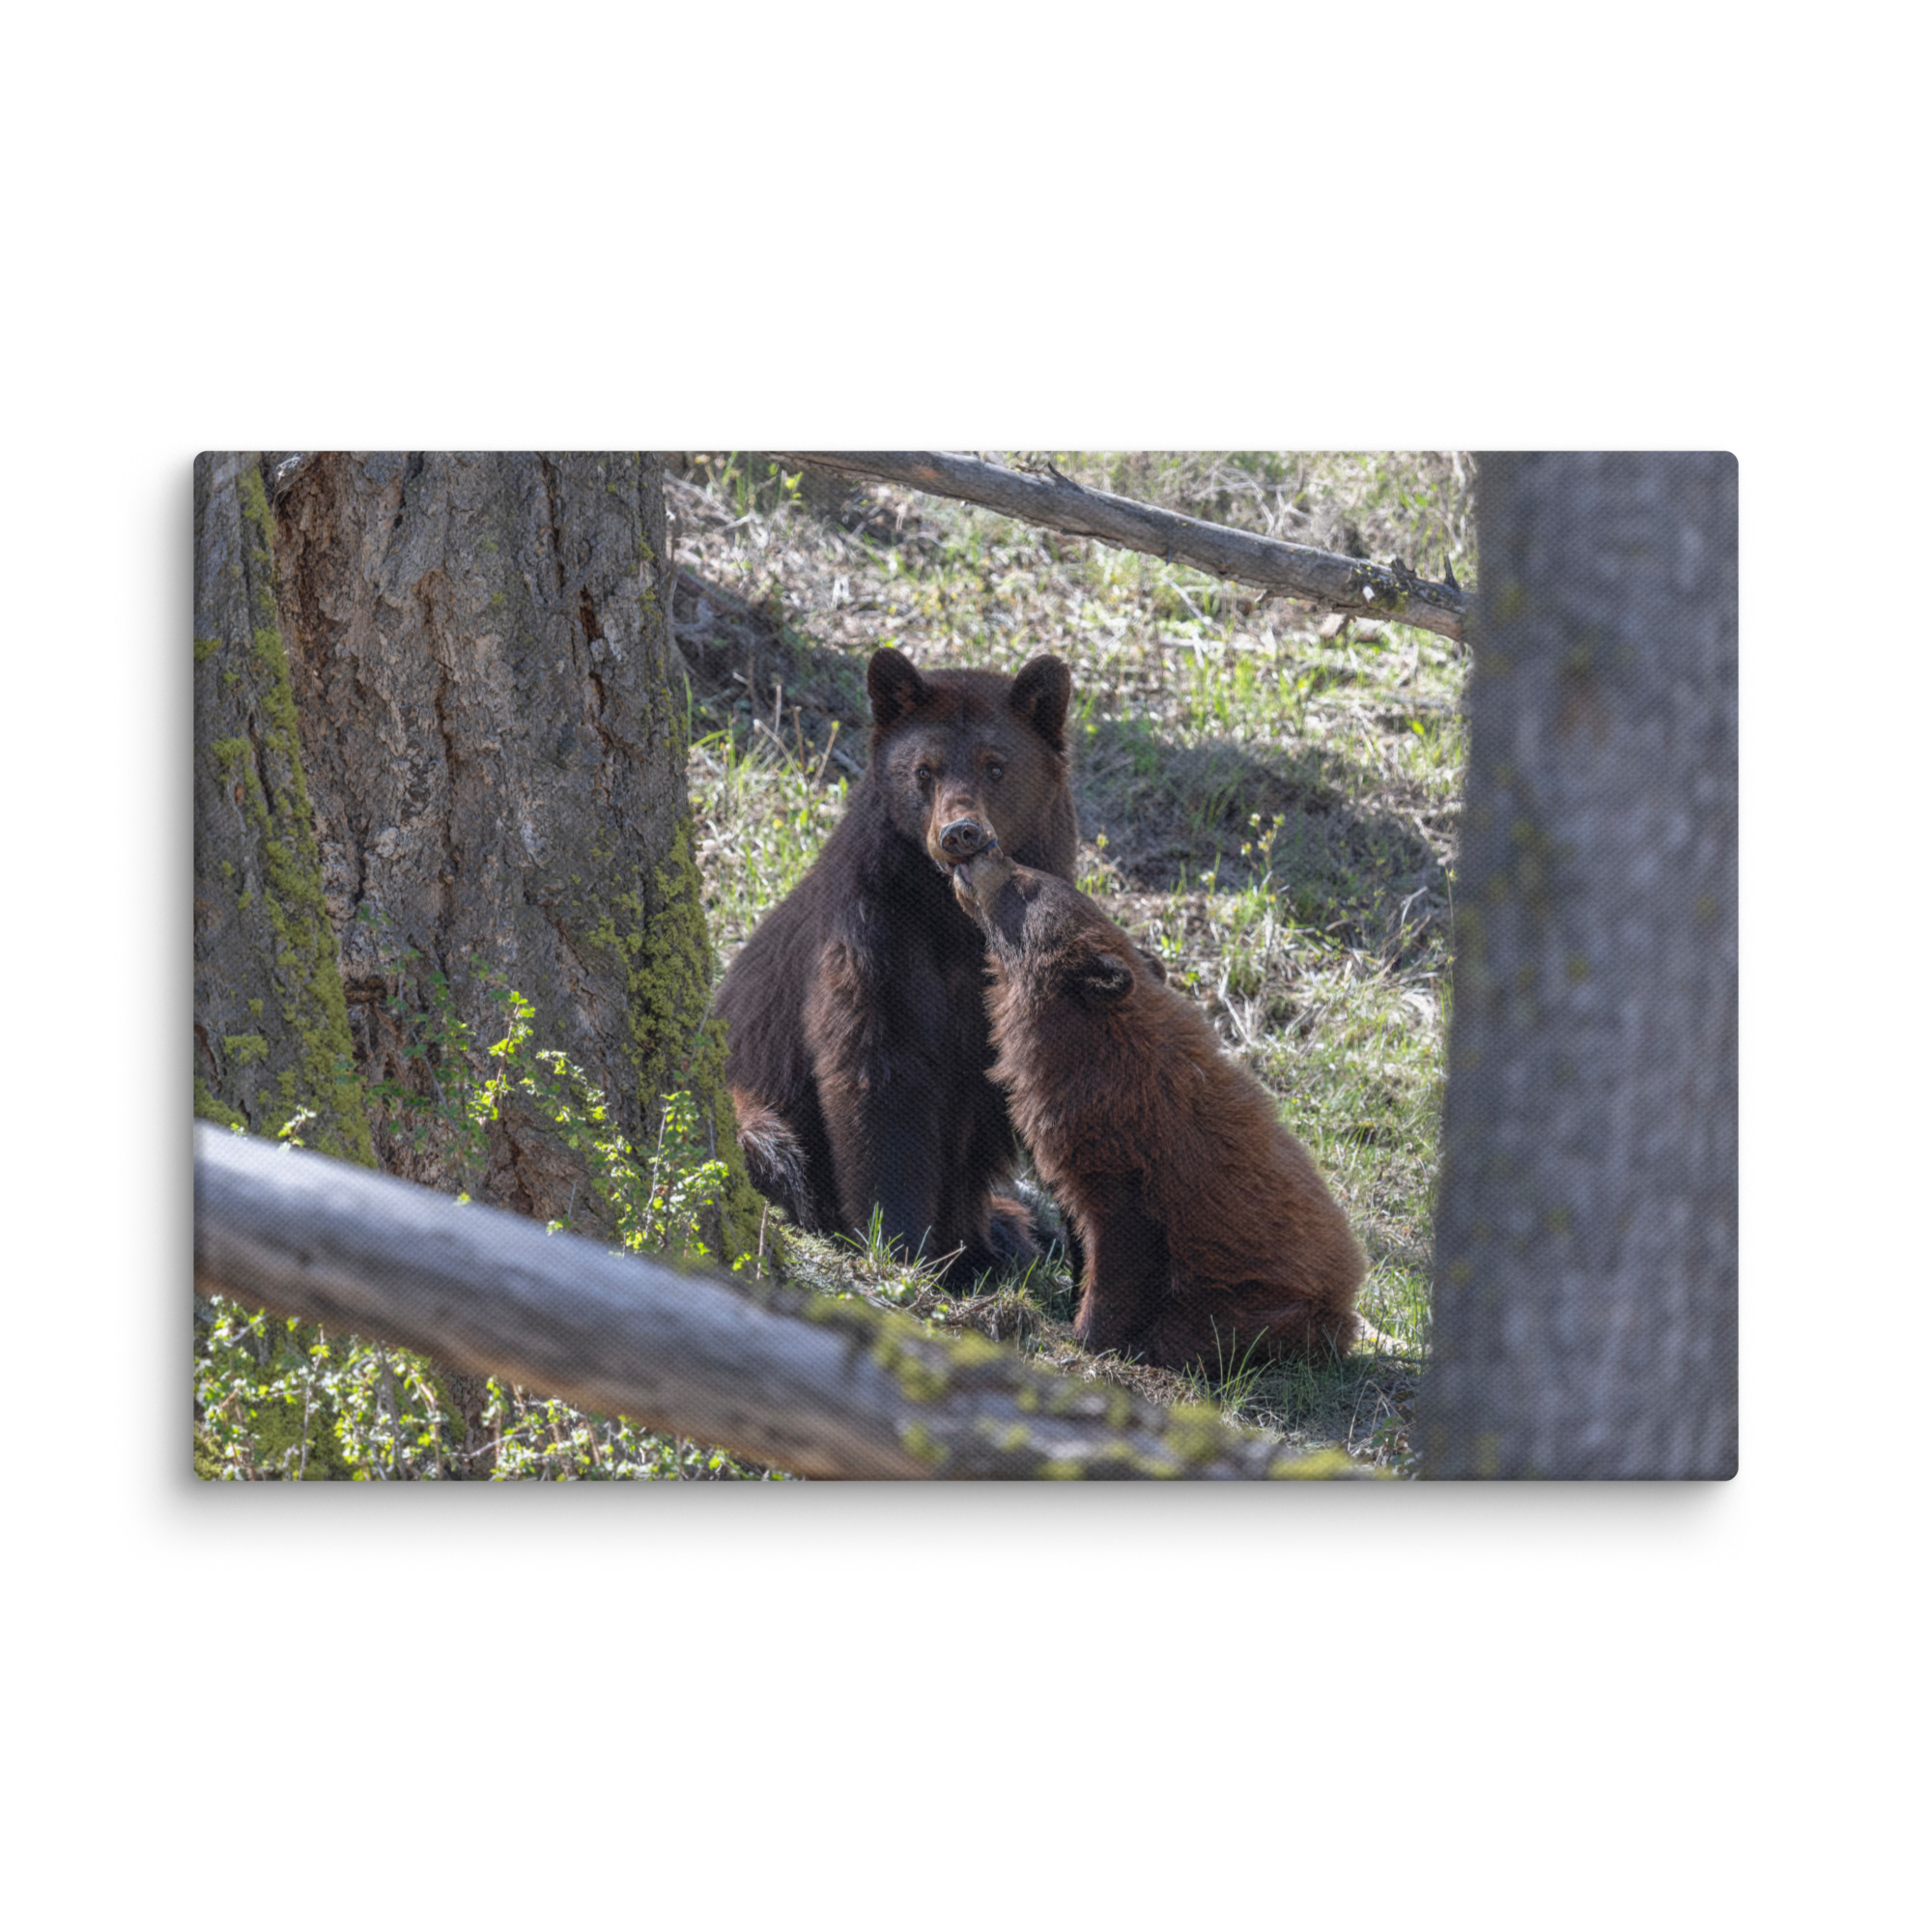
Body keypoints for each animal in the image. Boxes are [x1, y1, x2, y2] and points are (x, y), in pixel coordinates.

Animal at [712, 646, 1078, 1274]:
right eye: (924, 771)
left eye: (996, 766)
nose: (960, 833)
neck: (953, 919)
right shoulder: (873, 935)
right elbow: (878, 1075)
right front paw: (901, 1243)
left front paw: (975, 1243)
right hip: (751, 1103)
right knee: (771, 1145)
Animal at [950, 842, 1365, 1372]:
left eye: (1025, 883)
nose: (987, 848)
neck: (1091, 1047)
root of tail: (1347, 1300)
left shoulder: (1129, 1157)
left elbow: (1121, 1249)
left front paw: (1087, 1334)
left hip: (1262, 1305)